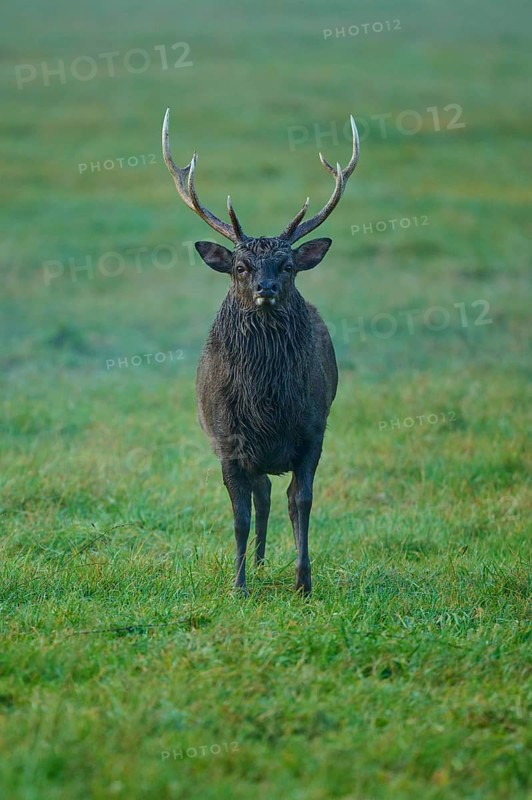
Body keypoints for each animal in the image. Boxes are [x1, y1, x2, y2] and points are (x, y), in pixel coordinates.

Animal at [162, 108, 359, 595]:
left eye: (287, 266)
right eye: (240, 266)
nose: (265, 288)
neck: (266, 405)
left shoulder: (312, 430)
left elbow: (300, 501)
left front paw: (304, 581)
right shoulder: (227, 441)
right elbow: (239, 516)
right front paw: (239, 586)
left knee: (272, 494)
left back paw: (267, 562)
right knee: (261, 495)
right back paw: (257, 562)